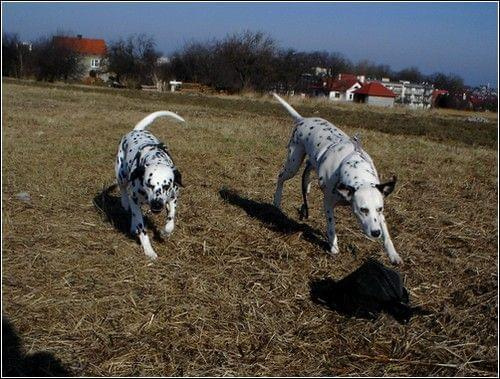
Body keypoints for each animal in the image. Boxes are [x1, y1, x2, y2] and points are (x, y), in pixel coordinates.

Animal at [115, 111, 186, 262]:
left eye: (167, 185)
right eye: (149, 184)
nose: (157, 204)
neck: (155, 157)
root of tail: (136, 130)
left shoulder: (173, 198)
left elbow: (171, 219)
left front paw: (166, 231)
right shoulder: (135, 200)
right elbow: (142, 228)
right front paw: (148, 250)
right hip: (121, 175)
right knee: (124, 190)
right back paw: (126, 205)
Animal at [272, 94, 404, 266]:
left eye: (379, 209)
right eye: (363, 209)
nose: (376, 233)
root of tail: (303, 120)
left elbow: (387, 235)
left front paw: (393, 254)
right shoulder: (328, 203)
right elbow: (331, 226)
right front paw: (333, 246)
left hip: (311, 160)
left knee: (309, 168)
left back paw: (306, 186)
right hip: (292, 163)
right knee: (281, 177)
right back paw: (277, 200)